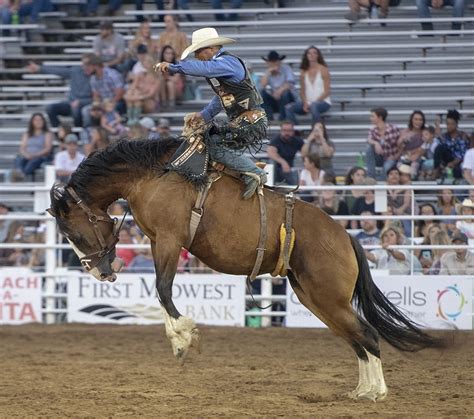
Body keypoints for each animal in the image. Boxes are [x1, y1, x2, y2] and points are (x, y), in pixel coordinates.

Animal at [46, 139, 442, 402]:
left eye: (75, 234)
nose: (99, 274)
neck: (155, 175)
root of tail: (345, 236)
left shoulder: (170, 239)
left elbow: (163, 288)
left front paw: (184, 337)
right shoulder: (161, 242)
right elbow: (160, 291)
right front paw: (178, 339)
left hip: (327, 297)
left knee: (368, 335)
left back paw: (377, 391)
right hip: (316, 298)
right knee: (356, 338)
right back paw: (362, 389)